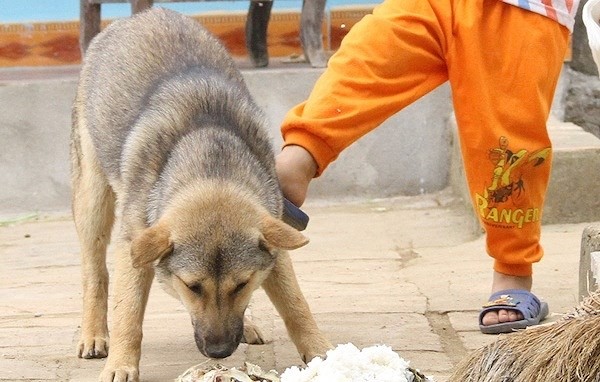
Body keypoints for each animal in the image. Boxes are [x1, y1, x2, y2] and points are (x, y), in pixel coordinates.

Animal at [71, 7, 332, 380]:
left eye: (241, 285)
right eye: (192, 287)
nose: (219, 352)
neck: (211, 166)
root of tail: (142, 16)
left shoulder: (274, 244)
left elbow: (296, 305)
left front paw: (322, 352)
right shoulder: (134, 246)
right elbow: (128, 315)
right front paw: (121, 363)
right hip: (93, 199)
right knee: (95, 274)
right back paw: (94, 334)